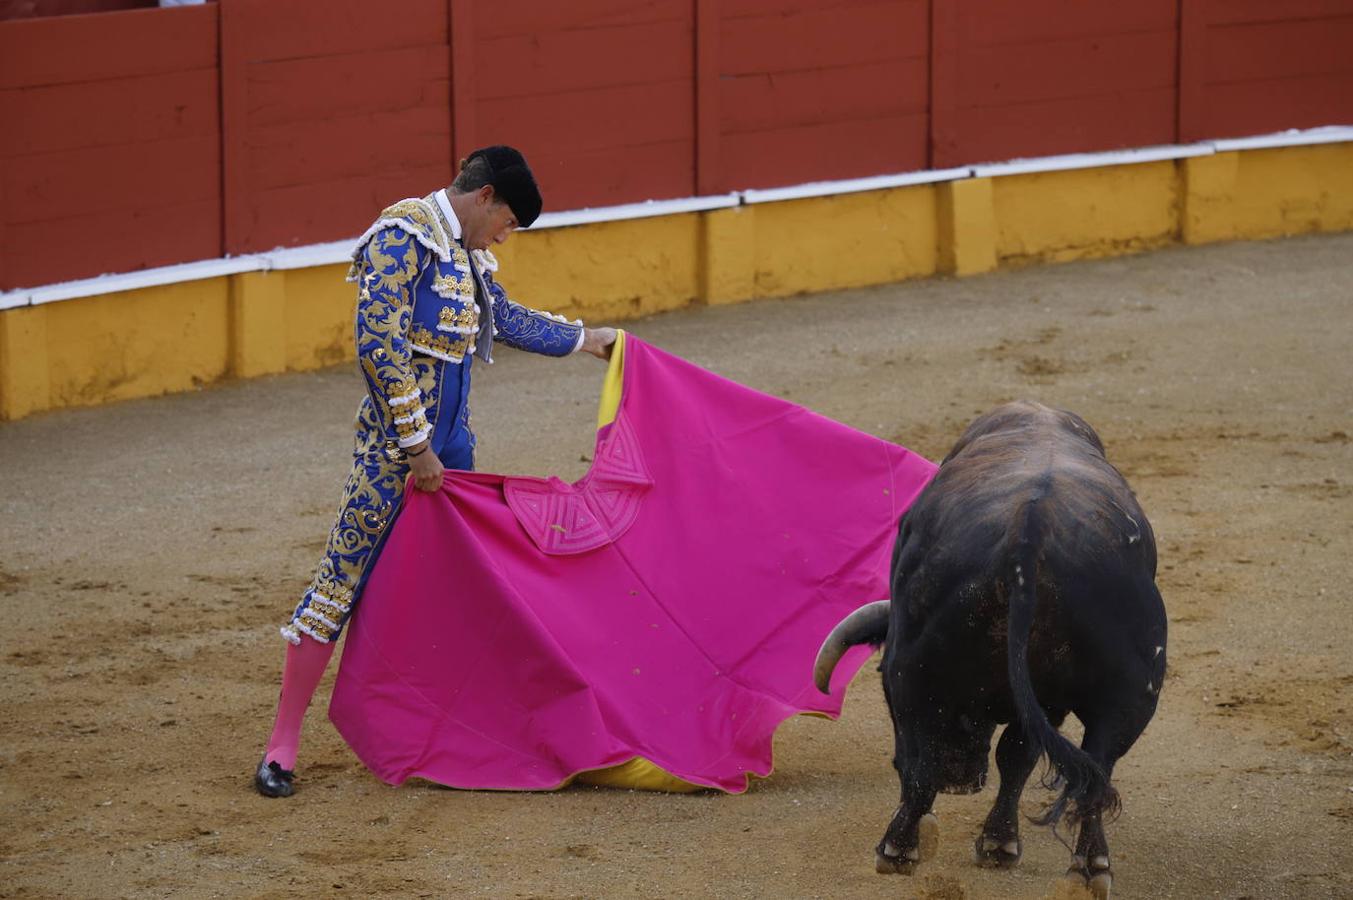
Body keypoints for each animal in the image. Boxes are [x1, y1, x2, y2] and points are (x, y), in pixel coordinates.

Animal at [806, 403, 1168, 893]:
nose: (959, 781)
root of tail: (1029, 535)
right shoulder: (1046, 702)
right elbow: (1018, 756)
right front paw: (999, 845)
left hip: (913, 674)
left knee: (922, 767)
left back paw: (896, 849)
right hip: (1127, 694)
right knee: (1095, 768)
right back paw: (1089, 866)